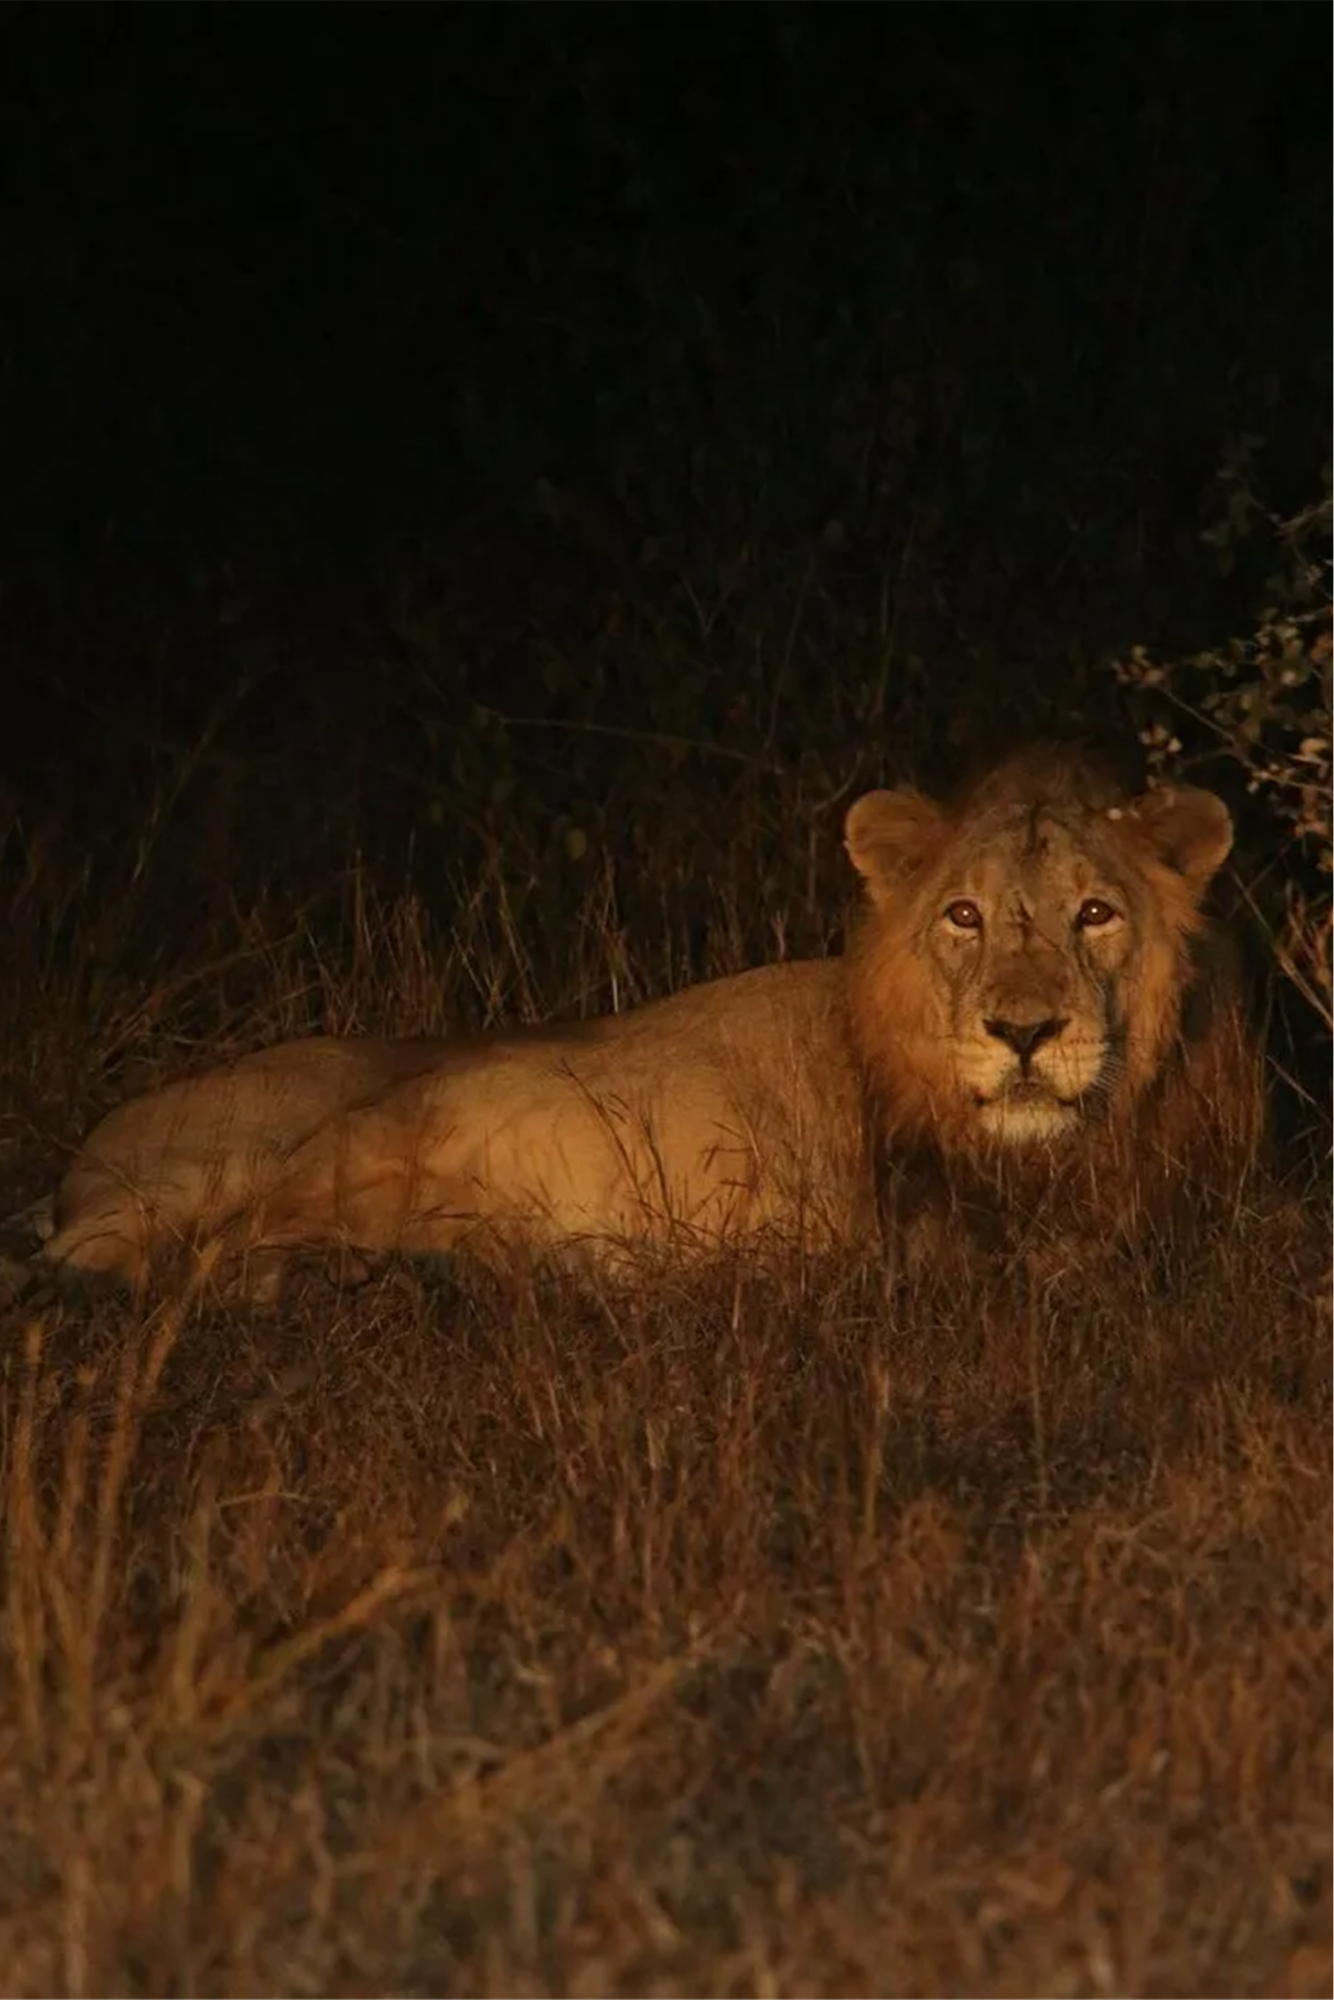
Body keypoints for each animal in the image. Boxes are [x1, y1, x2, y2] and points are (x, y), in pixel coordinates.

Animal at [43, 747, 1264, 1296]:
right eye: (963, 915)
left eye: (1095, 913)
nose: (1023, 1031)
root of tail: (85, 1158)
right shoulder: (923, 1241)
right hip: (360, 1123)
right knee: (197, 1258)